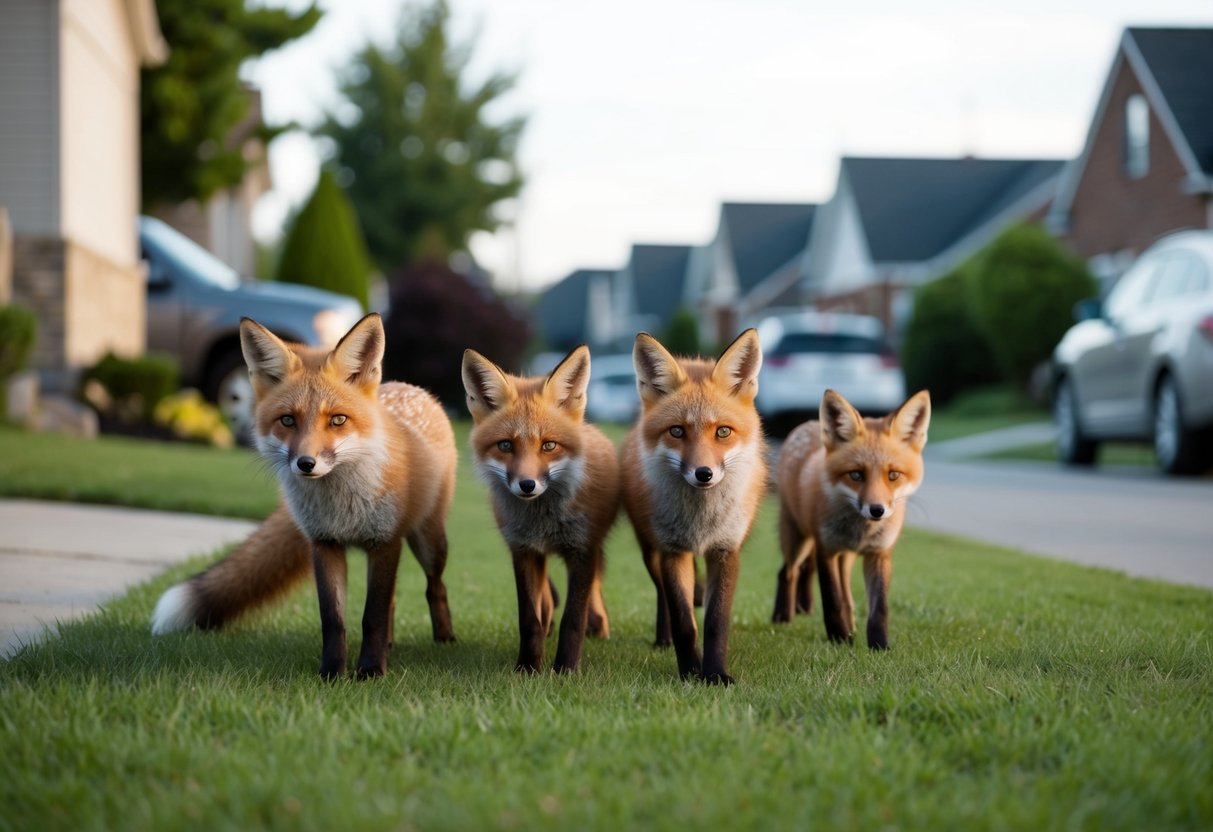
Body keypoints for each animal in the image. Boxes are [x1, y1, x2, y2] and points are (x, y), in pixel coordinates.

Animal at [151, 313, 457, 679]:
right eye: (287, 420)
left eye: (337, 420)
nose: (306, 463)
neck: (341, 508)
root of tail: (411, 387)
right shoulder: (324, 544)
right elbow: (334, 620)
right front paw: (332, 673)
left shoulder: (384, 542)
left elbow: (372, 616)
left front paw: (370, 671)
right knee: (394, 599)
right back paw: (391, 643)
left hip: (428, 542)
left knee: (434, 586)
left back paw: (445, 638)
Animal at [462, 346, 617, 674]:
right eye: (505, 445)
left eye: (548, 446)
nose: (527, 485)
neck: (543, 521)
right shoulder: (523, 550)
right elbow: (529, 619)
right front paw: (529, 667)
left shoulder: (583, 550)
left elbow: (573, 618)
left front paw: (566, 670)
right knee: (545, 600)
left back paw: (597, 626)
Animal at [620, 330, 767, 685]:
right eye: (677, 431)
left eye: (723, 431)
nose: (704, 474)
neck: (701, 522)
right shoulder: (673, 550)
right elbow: (684, 621)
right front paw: (689, 672)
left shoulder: (725, 550)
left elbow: (715, 622)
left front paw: (715, 674)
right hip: (650, 552)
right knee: (662, 596)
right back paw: (663, 639)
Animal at [772, 388, 930, 650]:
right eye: (856, 475)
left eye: (893, 475)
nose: (877, 510)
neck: (861, 532)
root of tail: (807, 424)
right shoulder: (825, 550)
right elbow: (832, 600)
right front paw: (840, 639)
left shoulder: (879, 553)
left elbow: (879, 608)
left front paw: (879, 646)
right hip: (798, 539)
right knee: (787, 571)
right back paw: (783, 617)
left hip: (844, 557)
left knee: (843, 590)